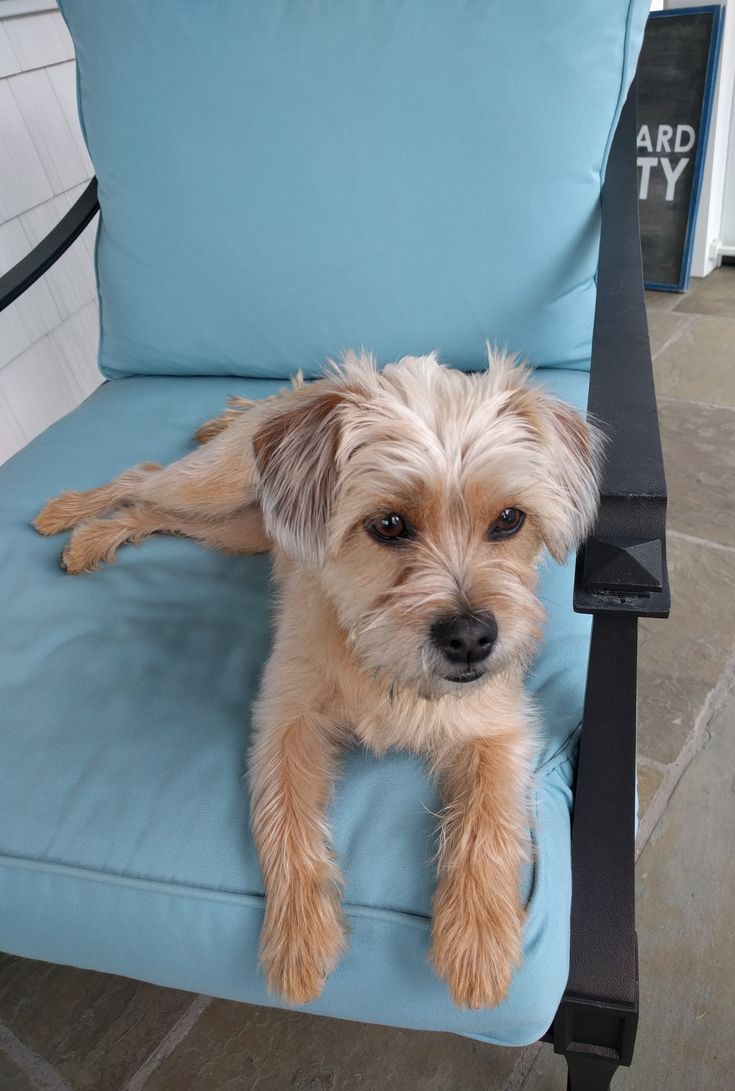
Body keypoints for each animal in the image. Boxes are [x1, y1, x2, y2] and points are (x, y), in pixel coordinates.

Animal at [34, 349, 597, 1003]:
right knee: (140, 478)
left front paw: (477, 939)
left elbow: (489, 821)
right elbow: (285, 824)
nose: (472, 639)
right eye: (388, 525)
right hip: (212, 489)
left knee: (152, 510)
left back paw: (92, 537)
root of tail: (299, 392)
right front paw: (300, 937)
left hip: (236, 532)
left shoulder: (500, 729)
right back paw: (70, 517)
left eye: (509, 519)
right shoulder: (284, 721)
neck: (380, 659)